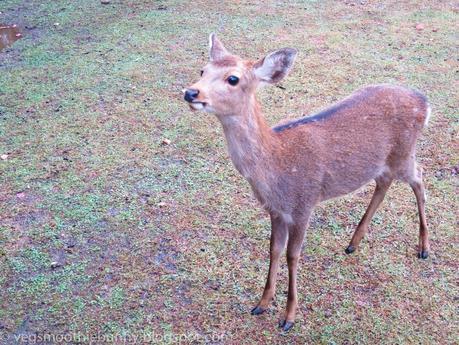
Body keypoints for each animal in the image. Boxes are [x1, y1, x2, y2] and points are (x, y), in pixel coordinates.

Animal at [183, 34, 432, 330]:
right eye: (202, 70)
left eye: (233, 78)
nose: (191, 92)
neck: (276, 167)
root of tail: (425, 101)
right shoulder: (276, 211)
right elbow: (274, 250)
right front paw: (261, 304)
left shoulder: (304, 204)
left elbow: (293, 256)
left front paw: (289, 317)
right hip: (384, 162)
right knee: (384, 183)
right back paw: (353, 242)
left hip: (404, 154)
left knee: (419, 179)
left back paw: (424, 248)